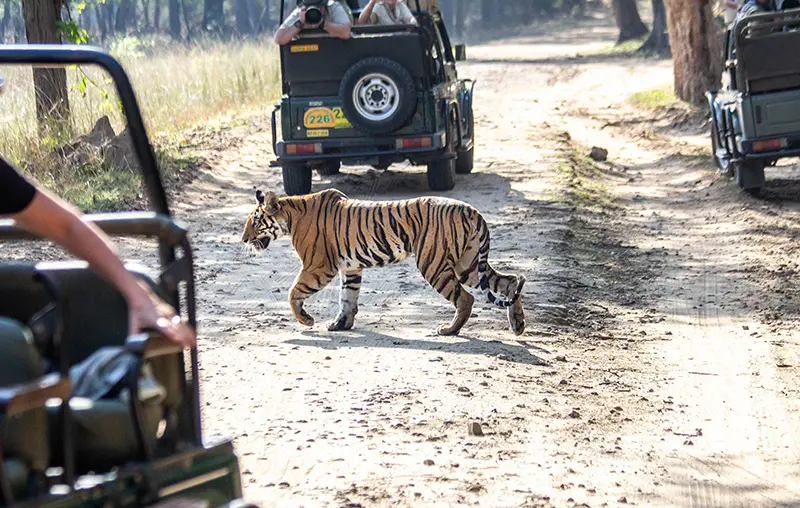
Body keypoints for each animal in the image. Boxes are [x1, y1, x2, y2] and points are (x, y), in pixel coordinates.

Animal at [238, 189, 524, 336]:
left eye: (254, 221)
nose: (243, 239)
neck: (291, 216)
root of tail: (473, 211)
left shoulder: (318, 266)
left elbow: (293, 292)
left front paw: (306, 320)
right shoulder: (350, 267)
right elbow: (347, 298)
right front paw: (341, 324)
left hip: (434, 264)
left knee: (466, 298)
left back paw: (449, 330)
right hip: (469, 265)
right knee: (511, 282)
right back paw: (518, 324)